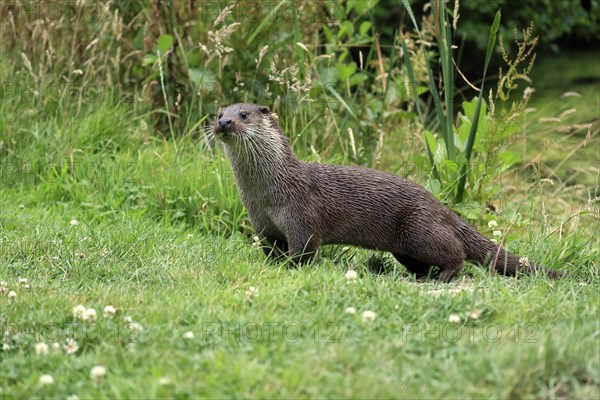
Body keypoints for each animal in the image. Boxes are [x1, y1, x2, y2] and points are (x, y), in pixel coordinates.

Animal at [211, 103, 564, 282]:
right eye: (219, 114)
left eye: (244, 115)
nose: (225, 123)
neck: (268, 194)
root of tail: (443, 208)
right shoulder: (262, 223)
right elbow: (270, 250)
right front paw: (271, 265)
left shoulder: (302, 216)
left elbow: (303, 252)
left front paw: (288, 268)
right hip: (405, 246)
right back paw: (420, 277)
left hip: (419, 228)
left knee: (457, 254)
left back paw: (443, 277)